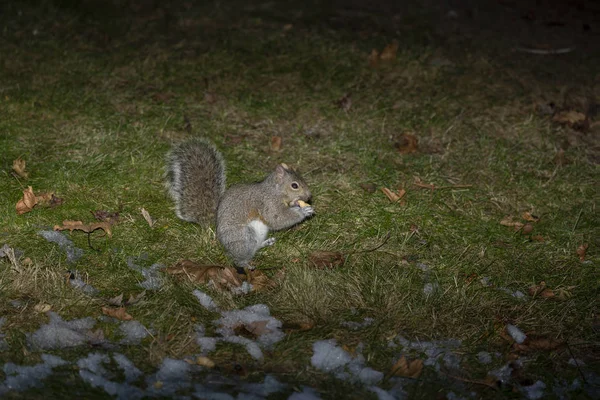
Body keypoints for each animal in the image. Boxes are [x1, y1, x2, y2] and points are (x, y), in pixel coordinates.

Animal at [164, 139, 314, 270]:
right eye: (294, 185)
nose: (309, 196)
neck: (274, 190)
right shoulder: (267, 202)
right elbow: (276, 218)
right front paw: (303, 212)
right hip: (244, 237)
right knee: (239, 257)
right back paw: (246, 264)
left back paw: (266, 243)